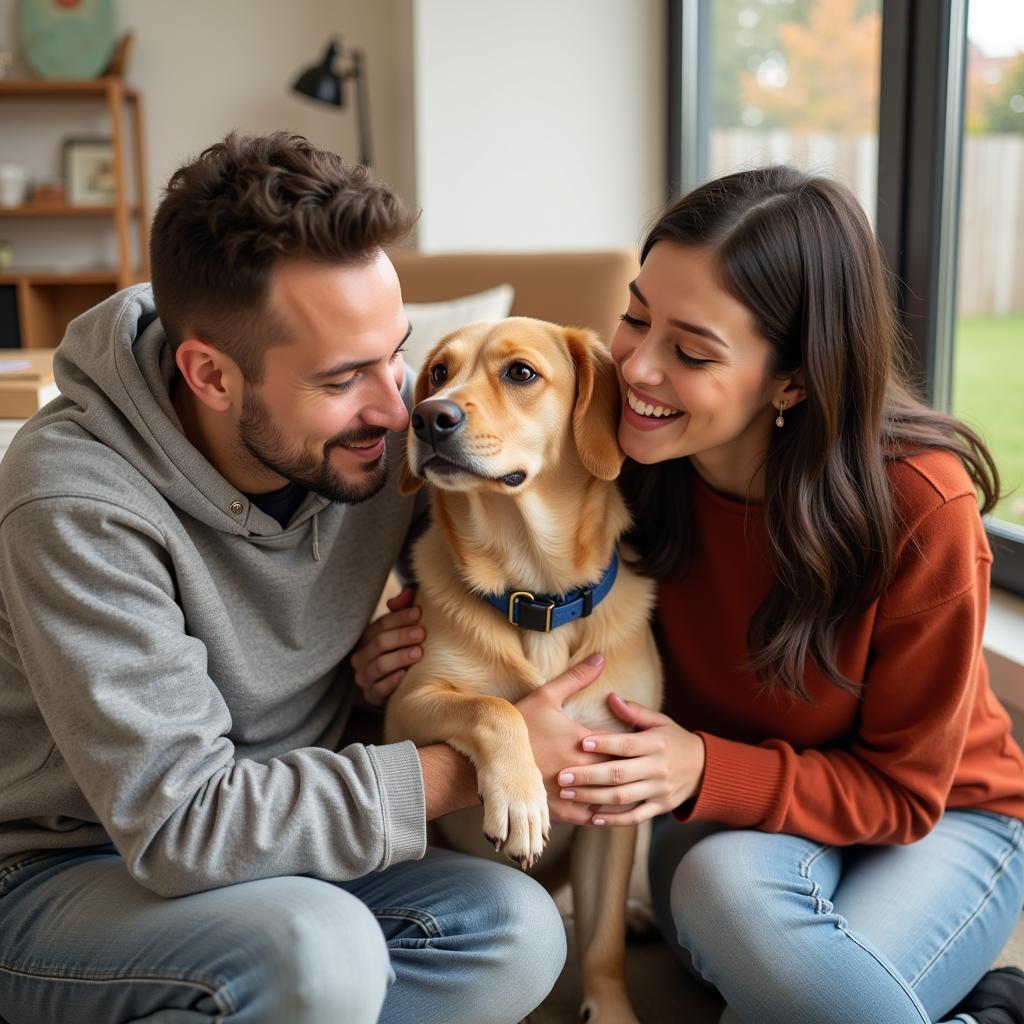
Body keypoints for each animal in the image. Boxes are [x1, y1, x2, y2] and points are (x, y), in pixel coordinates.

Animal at [385, 315, 663, 1019]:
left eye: (520, 373)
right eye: (438, 372)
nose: (428, 417)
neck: (535, 593)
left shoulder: (617, 794)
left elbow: (602, 941)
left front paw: (610, 1008)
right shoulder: (405, 706)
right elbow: (494, 706)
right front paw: (519, 798)